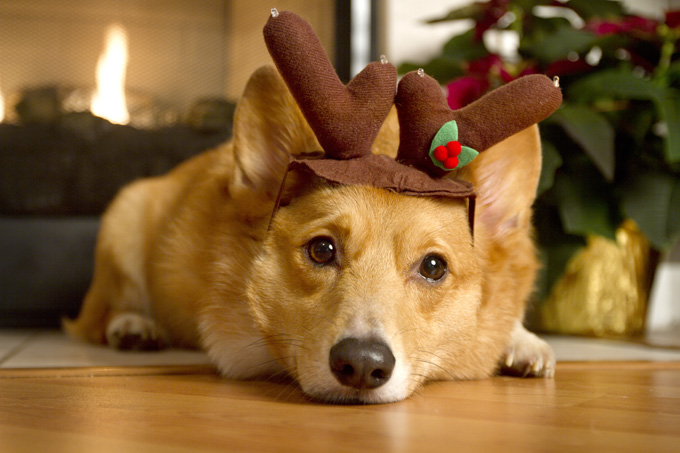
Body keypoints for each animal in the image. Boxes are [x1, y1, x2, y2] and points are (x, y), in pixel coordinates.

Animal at [65, 10, 556, 400]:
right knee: (105, 311)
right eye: (322, 250)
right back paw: (133, 327)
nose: (361, 366)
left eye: (434, 266)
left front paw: (522, 343)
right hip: (123, 222)